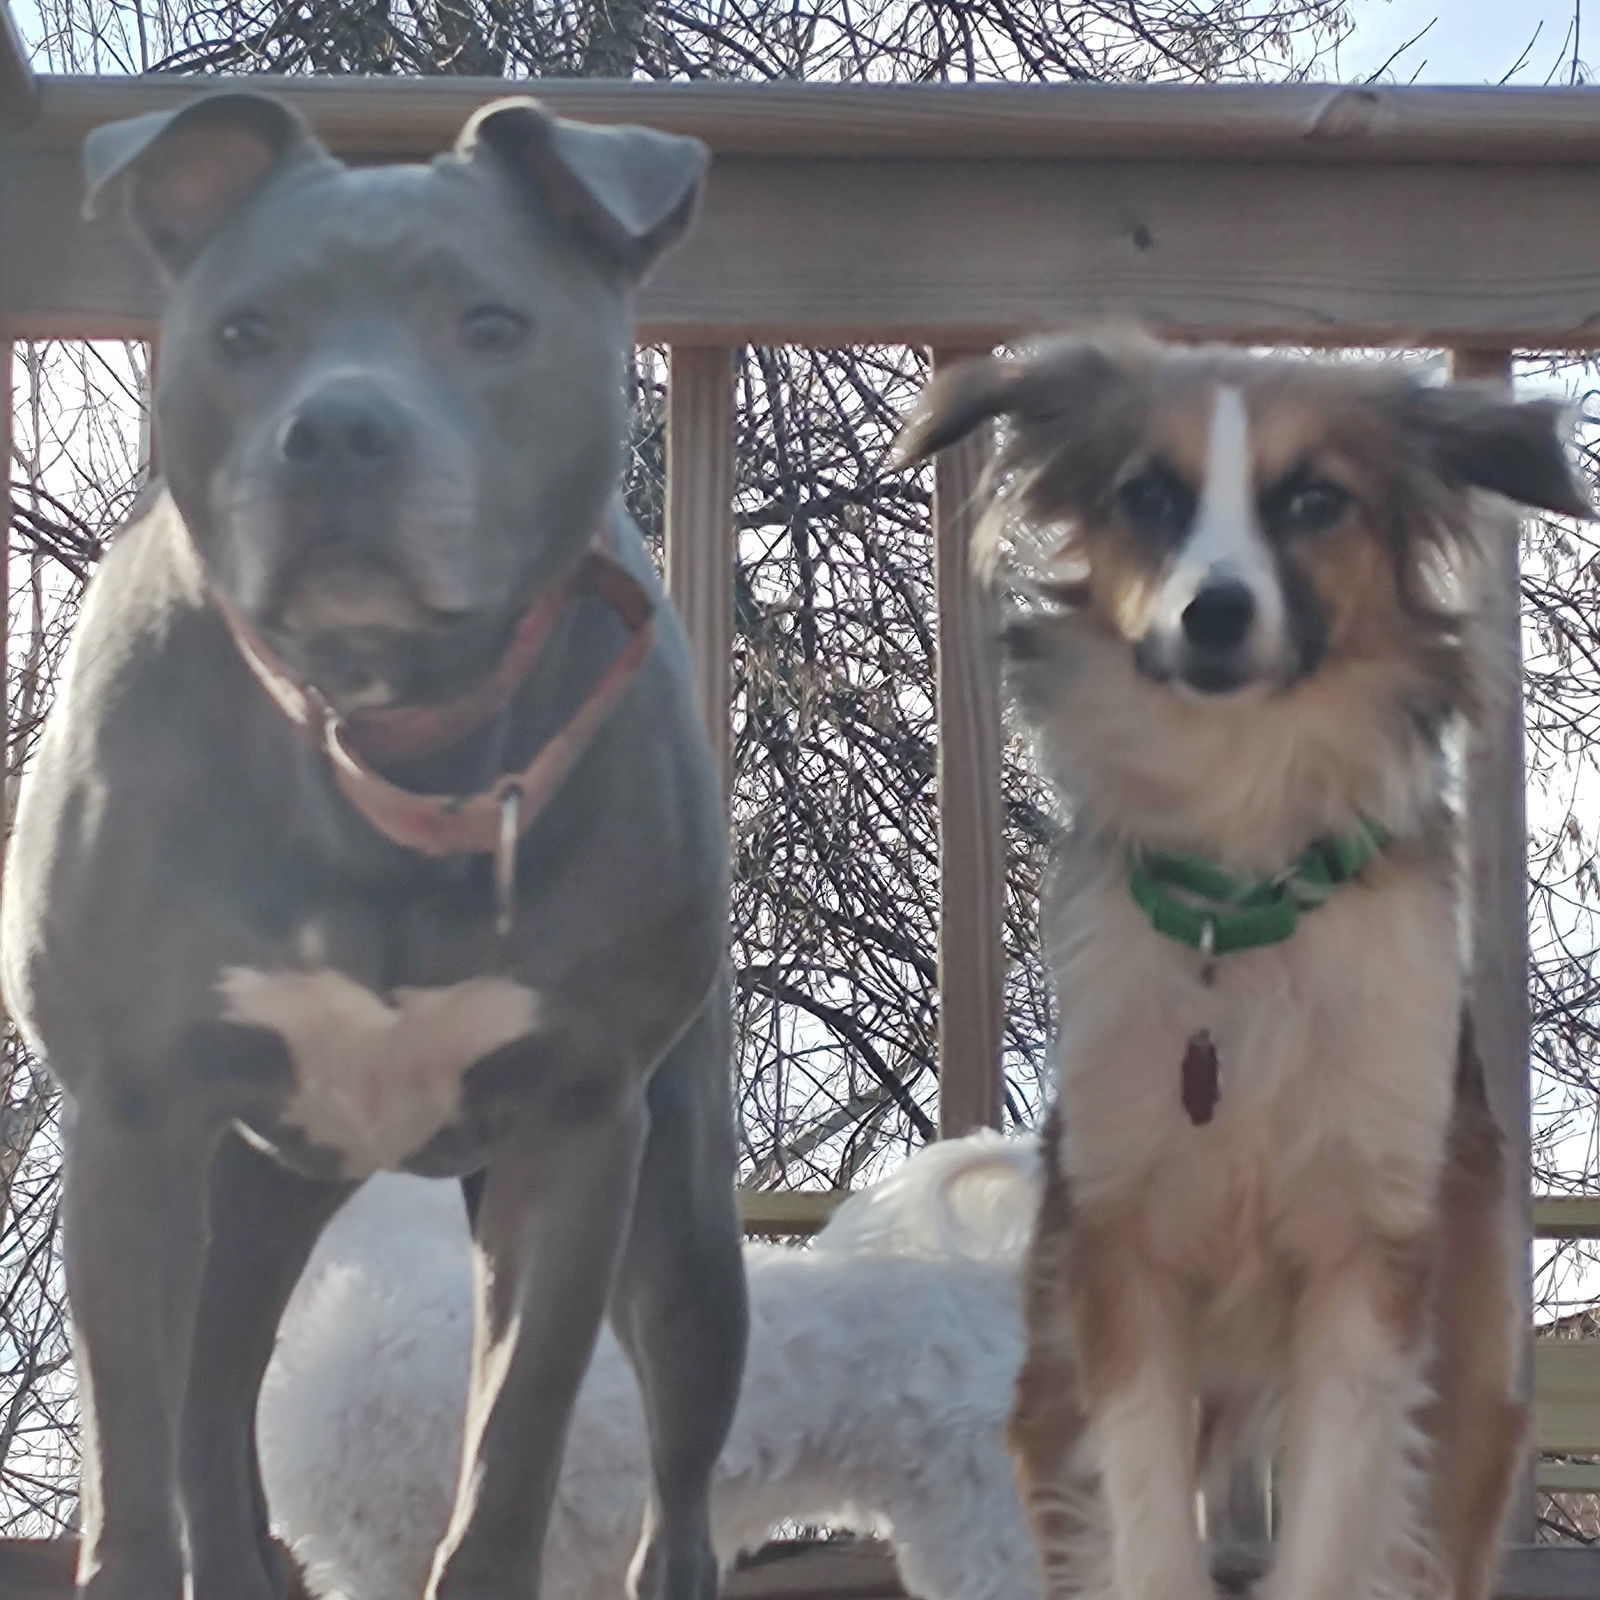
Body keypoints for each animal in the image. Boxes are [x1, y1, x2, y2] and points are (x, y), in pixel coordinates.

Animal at [0, 84, 745, 1600]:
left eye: (492, 324)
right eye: (243, 333)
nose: (338, 428)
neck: (381, 728)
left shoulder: (577, 1127)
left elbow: (510, 1452)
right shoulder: (134, 1119)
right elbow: (134, 1464)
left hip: (687, 1212)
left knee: (684, 1474)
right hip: (254, 1190)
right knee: (210, 1411)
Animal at [896, 331, 1593, 1600]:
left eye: (1314, 500)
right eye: (1148, 497)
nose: (1213, 613)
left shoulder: (1367, 1271)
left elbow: (1326, 1538)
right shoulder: (1120, 1262)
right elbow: (1148, 1536)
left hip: (1470, 1391)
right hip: (1056, 1377)